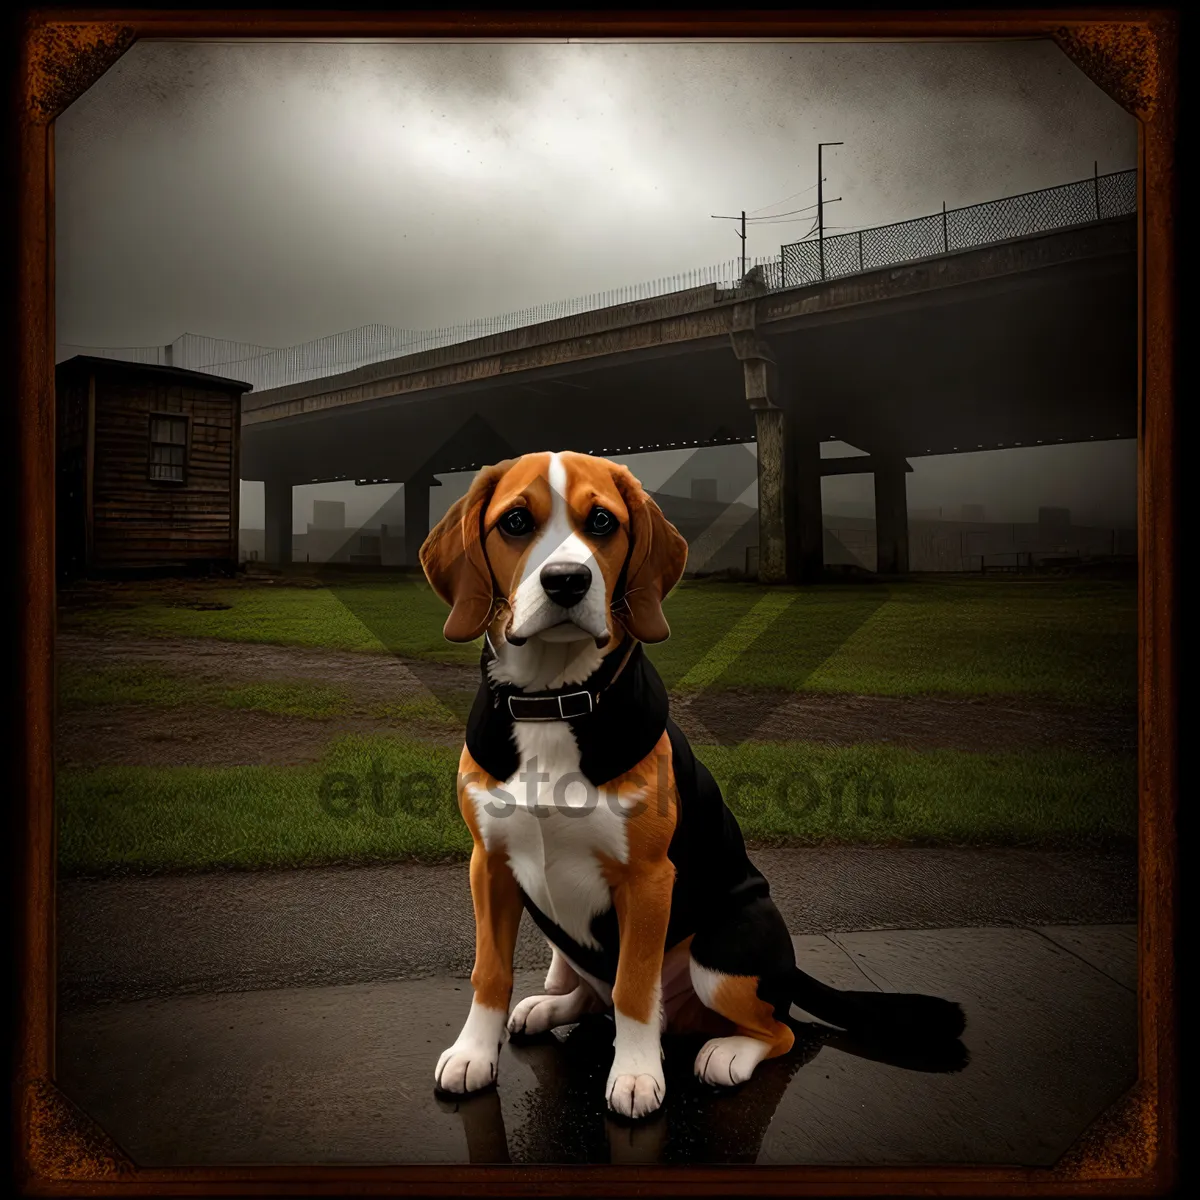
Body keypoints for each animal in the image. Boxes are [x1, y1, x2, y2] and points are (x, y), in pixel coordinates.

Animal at [422, 451, 964, 1123]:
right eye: (516, 521)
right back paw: (552, 1006)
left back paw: (725, 1053)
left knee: (778, 1029)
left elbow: (634, 986)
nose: (568, 581)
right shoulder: (490, 865)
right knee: (594, 994)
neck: (555, 700)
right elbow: (490, 972)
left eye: (602, 521)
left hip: (723, 944)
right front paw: (474, 1053)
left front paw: (634, 1075)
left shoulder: (649, 879)